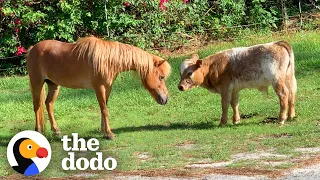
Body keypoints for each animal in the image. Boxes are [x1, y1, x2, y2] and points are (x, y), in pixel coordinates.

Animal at [26, 36, 171, 140]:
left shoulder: (107, 88)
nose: (165, 99)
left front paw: (103, 131)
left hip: (53, 85)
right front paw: (109, 133)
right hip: (37, 83)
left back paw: (56, 131)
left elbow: (104, 108)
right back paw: (38, 131)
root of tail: (32, 49)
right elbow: (105, 110)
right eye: (161, 77)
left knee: (48, 104)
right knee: (37, 106)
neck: (108, 60)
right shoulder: (99, 88)